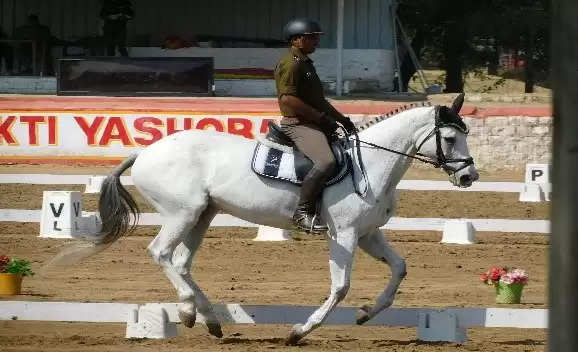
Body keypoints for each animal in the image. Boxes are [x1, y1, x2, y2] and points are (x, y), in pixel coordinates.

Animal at [63, 93, 480, 344]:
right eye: (450, 139)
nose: (468, 177)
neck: (374, 163)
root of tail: (145, 151)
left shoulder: (367, 234)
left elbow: (399, 268)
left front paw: (366, 314)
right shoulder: (344, 234)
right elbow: (340, 286)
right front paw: (300, 331)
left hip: (203, 215)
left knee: (180, 262)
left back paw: (207, 319)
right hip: (182, 213)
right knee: (161, 253)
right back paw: (186, 310)